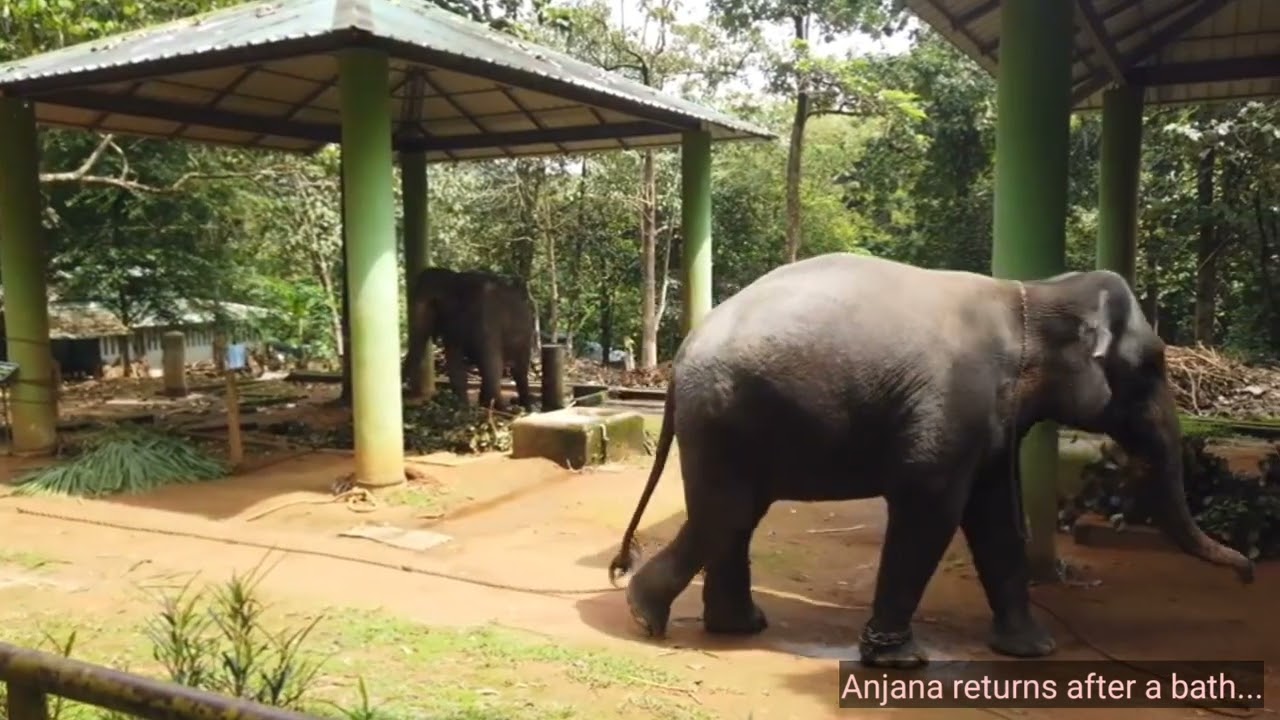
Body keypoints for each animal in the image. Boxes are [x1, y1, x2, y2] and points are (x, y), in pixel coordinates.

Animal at [402, 267, 538, 412]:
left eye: (434, 302)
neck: (454, 279)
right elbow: (454, 362)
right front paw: (463, 408)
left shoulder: (486, 317)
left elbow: (492, 363)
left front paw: (502, 409)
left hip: (526, 336)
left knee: (517, 370)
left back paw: (523, 407)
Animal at [606, 252, 1253, 669]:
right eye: (1152, 366)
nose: (1247, 571)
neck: (1034, 293)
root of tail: (683, 355)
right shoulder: (953, 404)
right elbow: (933, 507)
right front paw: (901, 661)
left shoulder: (992, 419)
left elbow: (994, 515)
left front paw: (1034, 650)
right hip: (725, 418)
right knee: (729, 513)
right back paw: (644, 615)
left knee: (735, 516)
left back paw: (729, 625)